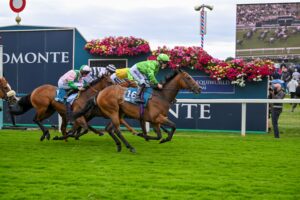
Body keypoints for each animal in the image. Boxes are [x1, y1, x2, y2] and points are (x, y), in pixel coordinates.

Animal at [72, 69, 202, 152]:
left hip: (118, 113)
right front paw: (144, 135)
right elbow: (173, 126)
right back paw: (130, 147)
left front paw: (154, 137)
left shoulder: (155, 121)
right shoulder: (157, 118)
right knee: (116, 130)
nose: (199, 88)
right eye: (188, 77)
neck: (161, 96)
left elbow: (159, 135)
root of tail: (100, 92)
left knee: (109, 129)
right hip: (112, 112)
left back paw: (119, 145)